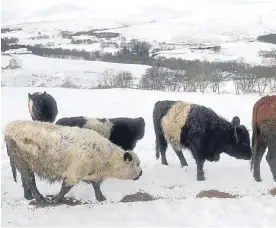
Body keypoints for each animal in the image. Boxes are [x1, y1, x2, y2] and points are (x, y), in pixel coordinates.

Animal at [3, 120, 142, 204]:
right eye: (136, 164)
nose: (141, 173)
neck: (106, 156)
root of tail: (10, 126)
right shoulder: (73, 174)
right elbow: (65, 188)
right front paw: (57, 199)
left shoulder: (94, 175)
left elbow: (96, 186)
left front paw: (101, 198)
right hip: (23, 162)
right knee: (30, 181)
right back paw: (40, 199)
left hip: (24, 164)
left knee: (25, 180)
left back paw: (29, 197)